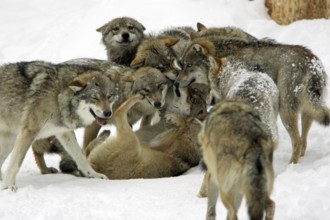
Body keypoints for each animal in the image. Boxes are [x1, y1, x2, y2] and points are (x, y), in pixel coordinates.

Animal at [0, 60, 117, 191]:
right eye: (94, 98)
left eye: (109, 96)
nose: (108, 113)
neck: (58, 96)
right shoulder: (28, 132)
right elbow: (16, 162)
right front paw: (8, 186)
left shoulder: (64, 132)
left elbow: (80, 155)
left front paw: (93, 175)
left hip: (9, 140)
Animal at [175, 37, 330, 163]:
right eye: (181, 65)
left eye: (188, 65)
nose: (175, 83)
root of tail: (313, 64)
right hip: (308, 112)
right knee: (303, 141)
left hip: (285, 113)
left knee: (297, 142)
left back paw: (291, 165)